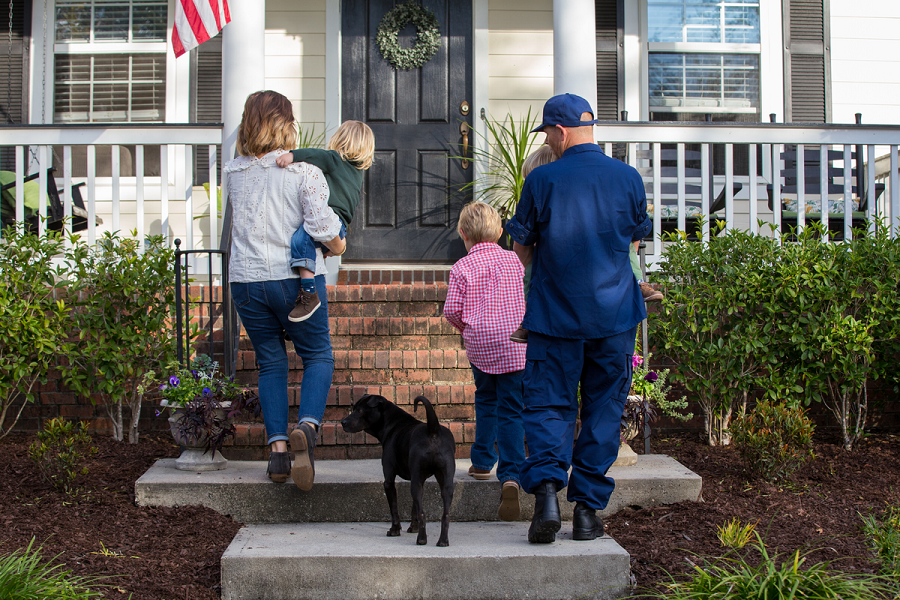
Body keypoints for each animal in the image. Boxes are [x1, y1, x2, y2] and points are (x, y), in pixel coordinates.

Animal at [342, 392, 460, 548]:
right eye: (354, 408)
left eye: (360, 411)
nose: (343, 422)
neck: (392, 424)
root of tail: (433, 430)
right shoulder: (419, 480)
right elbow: (414, 508)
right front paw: (413, 528)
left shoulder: (389, 480)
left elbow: (394, 509)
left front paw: (394, 530)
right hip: (445, 482)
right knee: (445, 514)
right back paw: (443, 541)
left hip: (417, 481)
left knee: (423, 513)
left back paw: (422, 539)